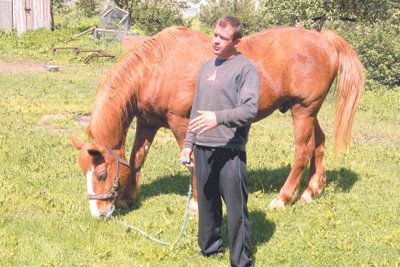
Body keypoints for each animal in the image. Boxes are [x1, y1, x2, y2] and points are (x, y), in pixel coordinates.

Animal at [70, 25, 364, 219]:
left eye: (101, 175)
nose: (98, 213)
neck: (157, 67)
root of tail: (324, 39)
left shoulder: (182, 124)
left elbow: (191, 163)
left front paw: (195, 205)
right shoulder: (147, 123)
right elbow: (136, 159)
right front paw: (128, 197)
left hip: (303, 110)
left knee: (303, 150)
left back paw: (283, 198)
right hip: (307, 111)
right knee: (319, 143)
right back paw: (312, 191)